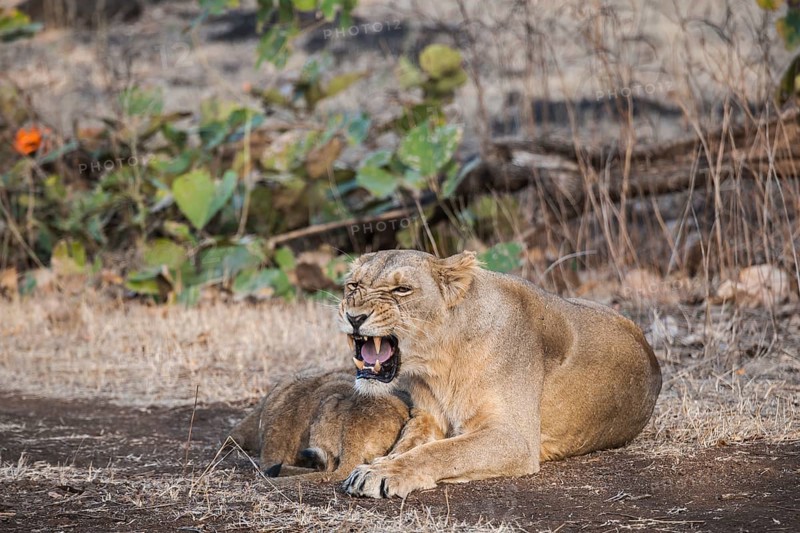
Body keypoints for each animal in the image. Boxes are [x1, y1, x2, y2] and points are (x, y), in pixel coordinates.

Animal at [337, 249, 662, 498]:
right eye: (352, 286)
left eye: (402, 289)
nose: (354, 317)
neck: (440, 364)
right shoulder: (427, 416)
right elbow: (408, 443)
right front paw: (384, 461)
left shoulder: (514, 438)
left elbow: (441, 452)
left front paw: (385, 472)